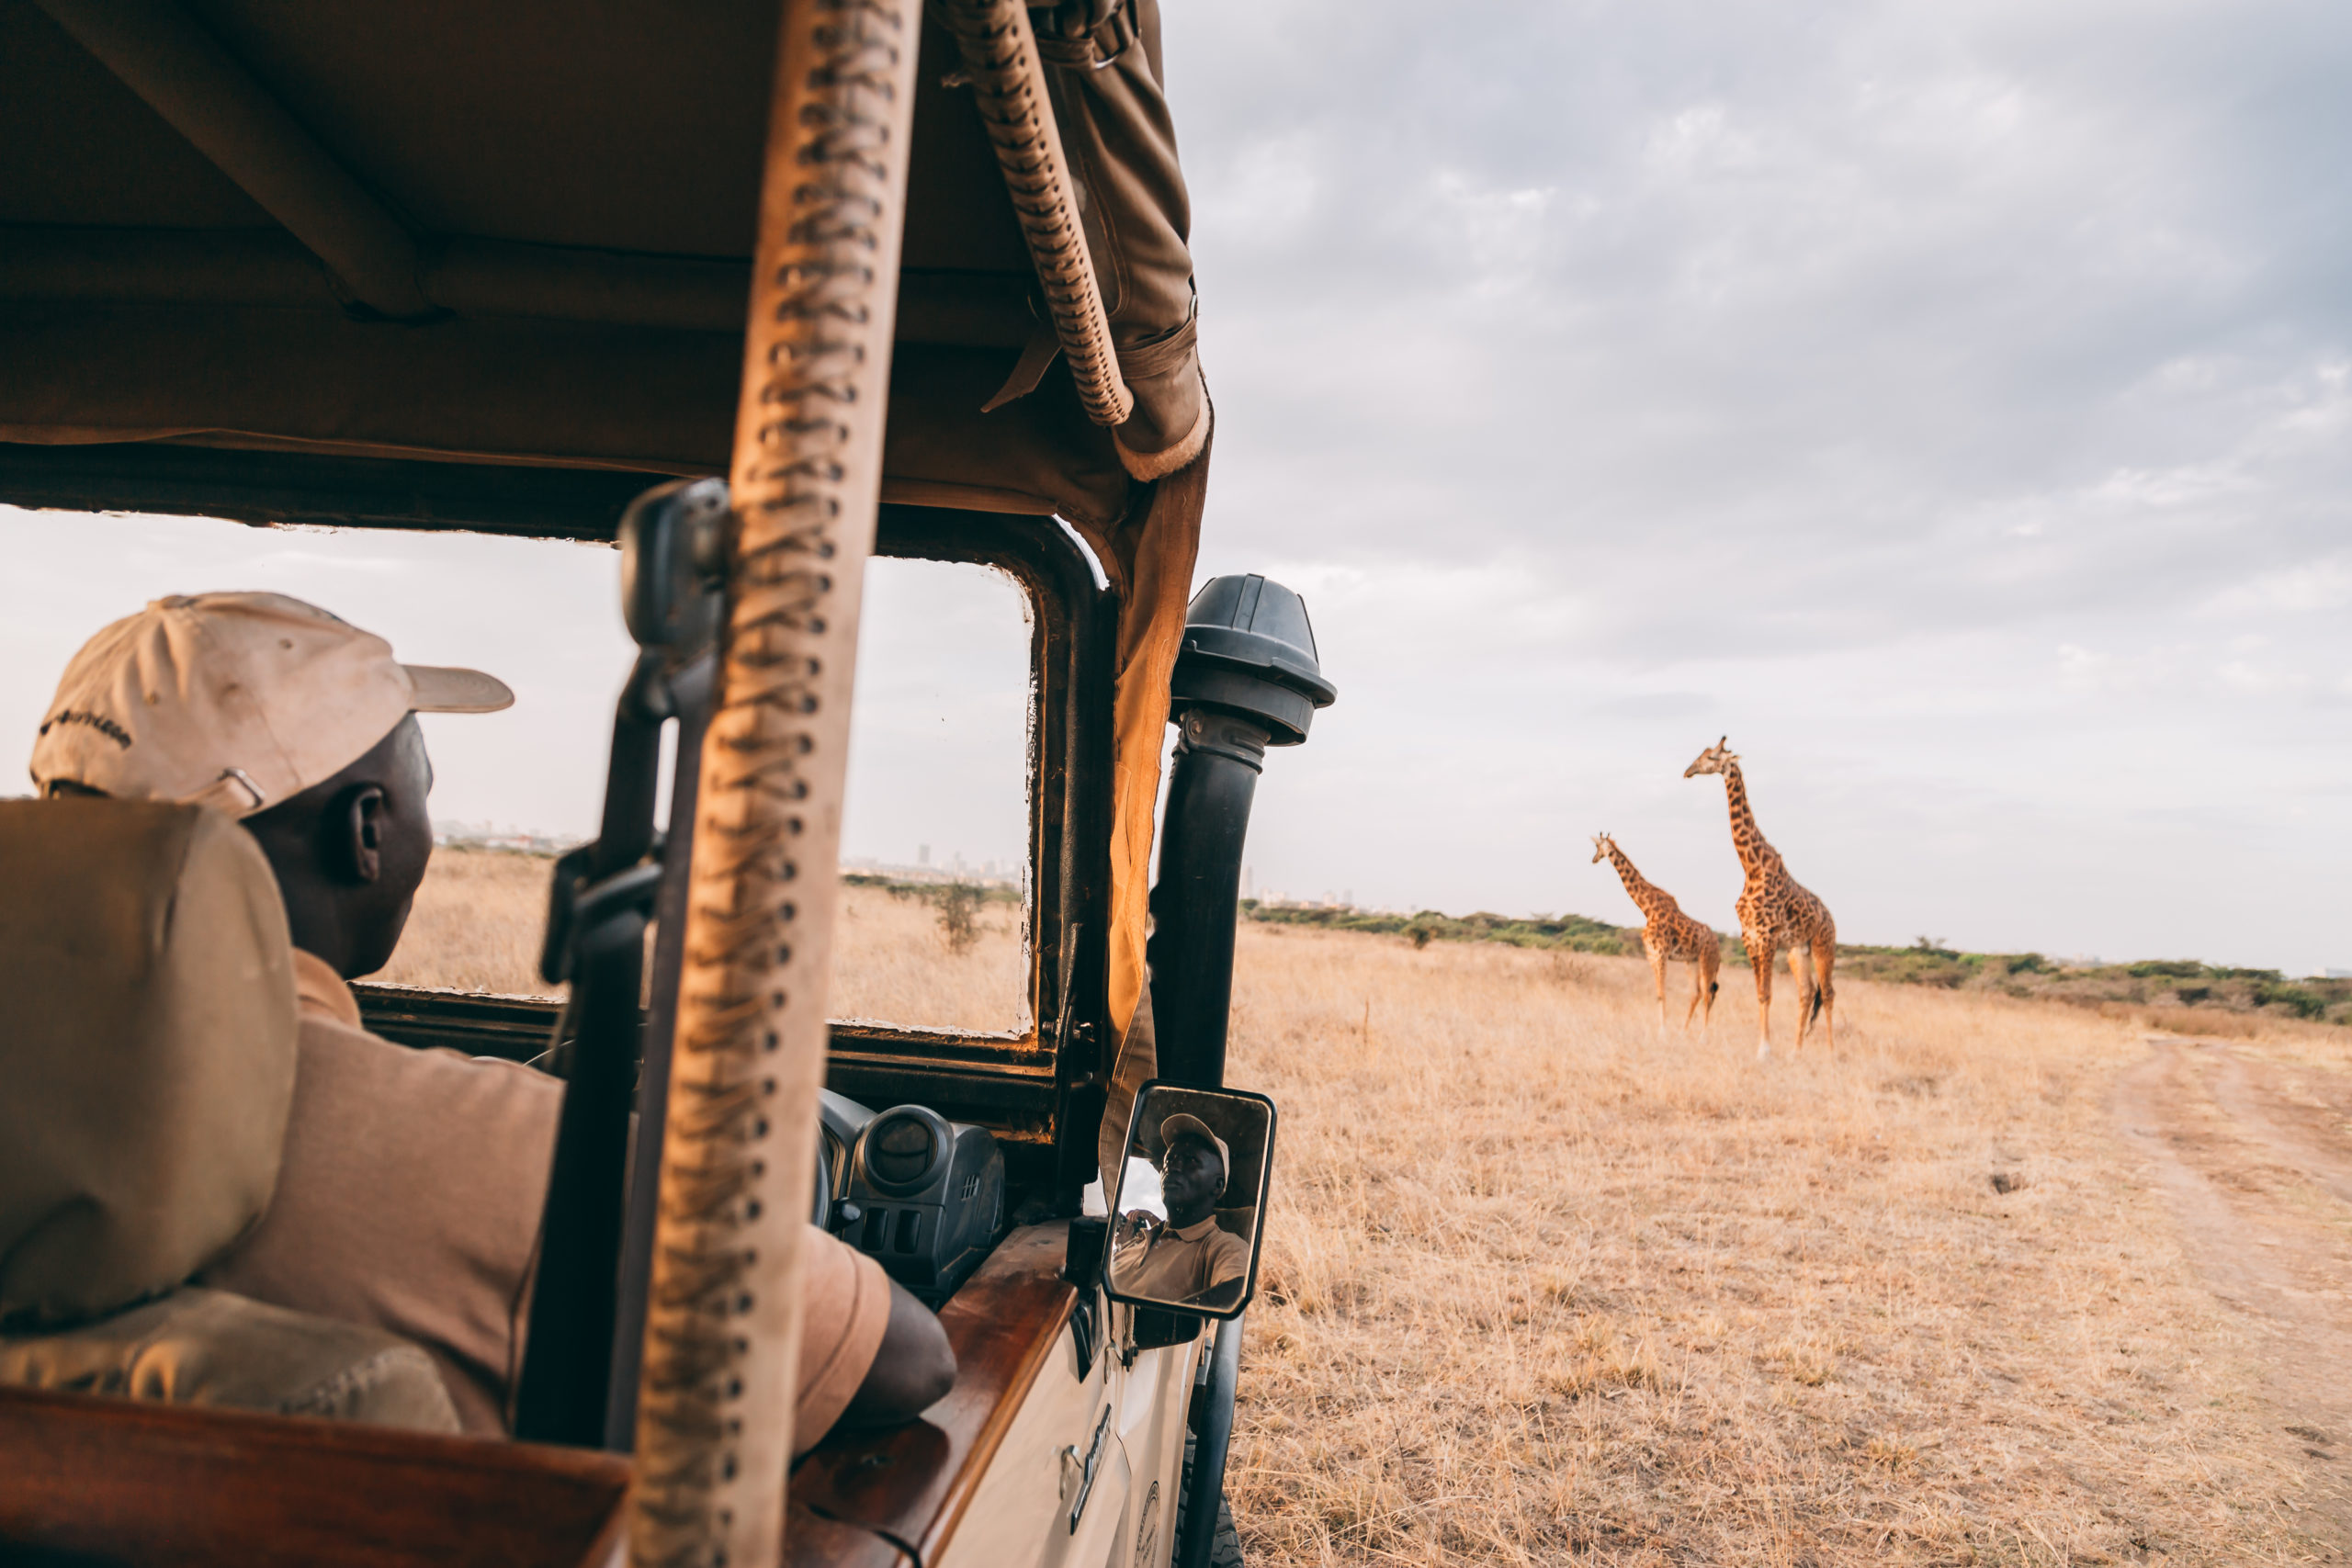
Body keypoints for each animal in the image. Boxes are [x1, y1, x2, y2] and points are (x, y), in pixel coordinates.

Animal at [1591, 833, 1721, 1034]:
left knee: (1707, 995)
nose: (1594, 859)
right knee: (1697, 993)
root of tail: (1719, 947)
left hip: (1707, 961)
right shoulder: (1651, 954)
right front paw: (1661, 1028)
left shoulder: (1660, 953)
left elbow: (1662, 993)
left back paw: (1703, 1035)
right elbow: (1659, 994)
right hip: (1692, 962)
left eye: (1598, 847)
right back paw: (1684, 1031)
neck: (1647, 908)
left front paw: (1662, 1031)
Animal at [1683, 738, 1836, 1060]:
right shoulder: (1750, 936)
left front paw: (1764, 1050)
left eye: (1712, 757)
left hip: (1823, 944)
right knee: (1806, 993)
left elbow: (1767, 994)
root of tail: (1830, 917)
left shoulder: (1766, 936)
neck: (1752, 868)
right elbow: (1760, 993)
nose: (1688, 771)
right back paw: (1795, 1052)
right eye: (1701, 754)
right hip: (1798, 951)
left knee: (1828, 993)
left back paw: (1831, 1053)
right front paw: (1767, 1047)